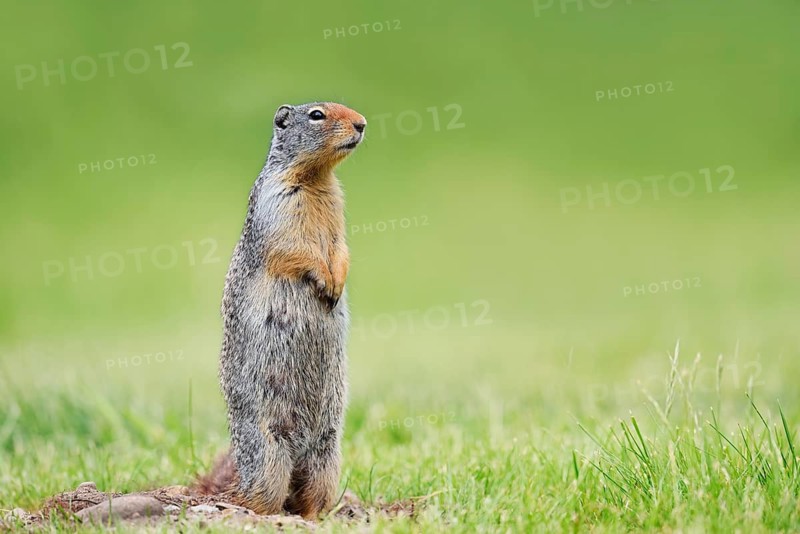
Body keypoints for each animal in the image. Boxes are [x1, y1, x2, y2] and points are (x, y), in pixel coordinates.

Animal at [197, 102, 366, 519]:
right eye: (317, 114)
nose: (362, 124)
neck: (317, 178)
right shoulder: (279, 204)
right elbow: (293, 248)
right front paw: (325, 281)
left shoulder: (338, 210)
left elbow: (341, 247)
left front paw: (337, 281)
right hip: (267, 449)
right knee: (264, 497)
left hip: (327, 453)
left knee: (309, 495)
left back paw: (318, 515)